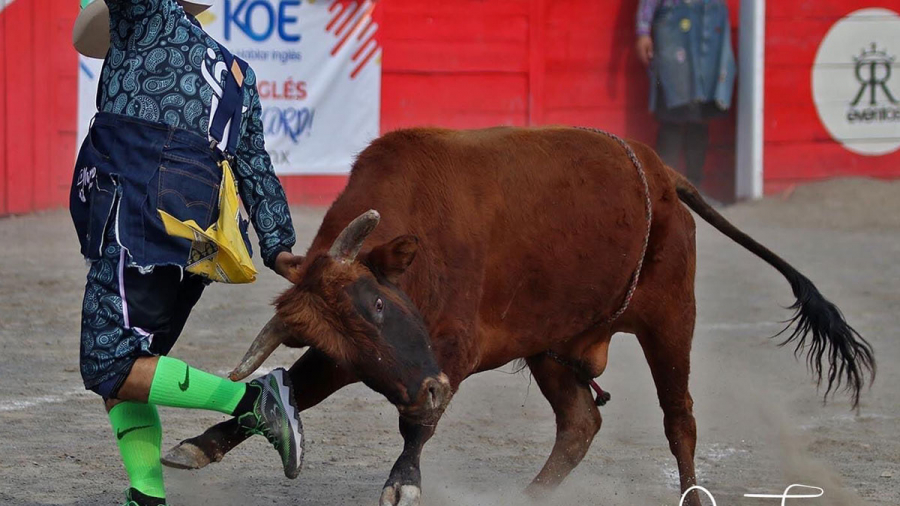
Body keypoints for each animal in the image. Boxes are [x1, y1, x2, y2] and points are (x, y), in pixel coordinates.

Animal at [161, 126, 874, 506]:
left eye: (380, 304)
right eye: (356, 343)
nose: (429, 388)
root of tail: (661, 170)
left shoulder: (452, 351)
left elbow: (417, 426)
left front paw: (404, 482)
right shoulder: (366, 361)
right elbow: (292, 388)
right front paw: (200, 445)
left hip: (672, 315)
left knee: (681, 419)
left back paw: (692, 493)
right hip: (554, 344)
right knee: (581, 421)